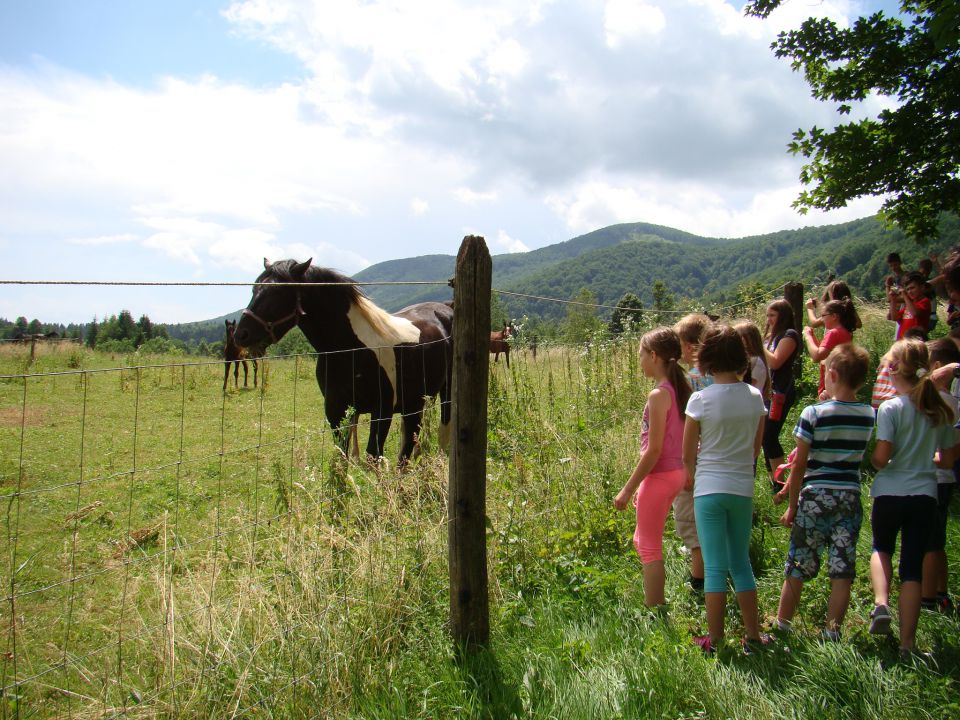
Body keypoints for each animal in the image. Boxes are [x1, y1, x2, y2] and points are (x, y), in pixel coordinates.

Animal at [234, 258, 456, 462]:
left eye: (279, 292)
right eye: (254, 288)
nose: (241, 334)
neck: (350, 349)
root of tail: (446, 309)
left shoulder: (382, 411)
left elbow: (373, 456)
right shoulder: (336, 410)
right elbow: (341, 456)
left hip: (444, 392)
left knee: (441, 430)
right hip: (417, 400)